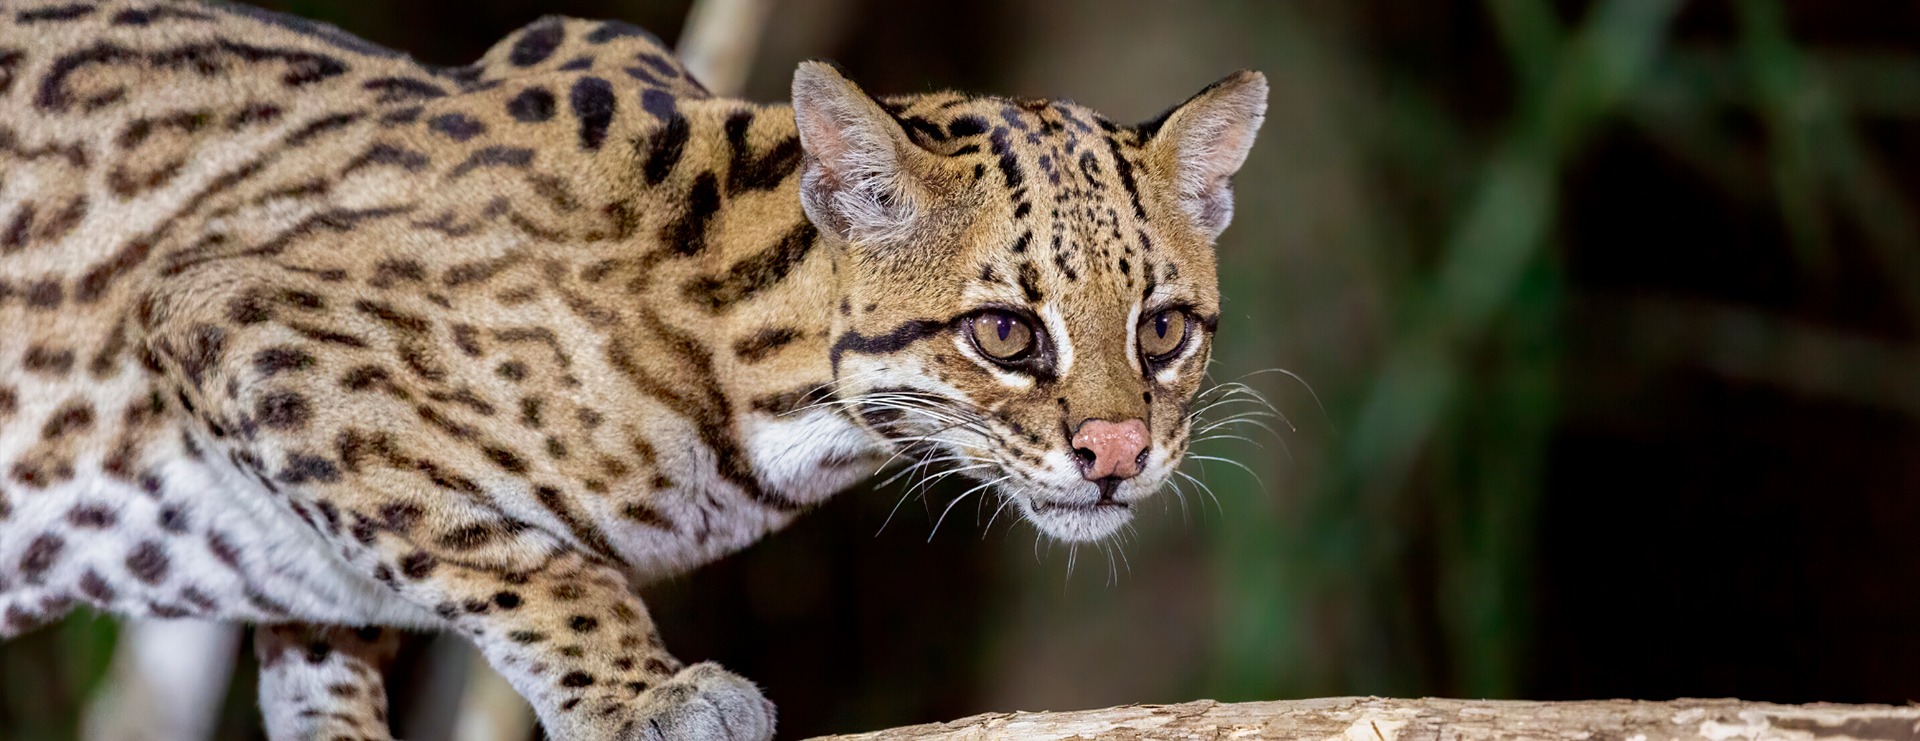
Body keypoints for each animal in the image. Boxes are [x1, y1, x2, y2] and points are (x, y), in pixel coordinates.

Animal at [0, 1, 1268, 738]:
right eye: (1005, 333)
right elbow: (520, 557)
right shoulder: (233, 314)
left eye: (1164, 330)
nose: (1119, 453)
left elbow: (332, 651)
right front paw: (642, 691)